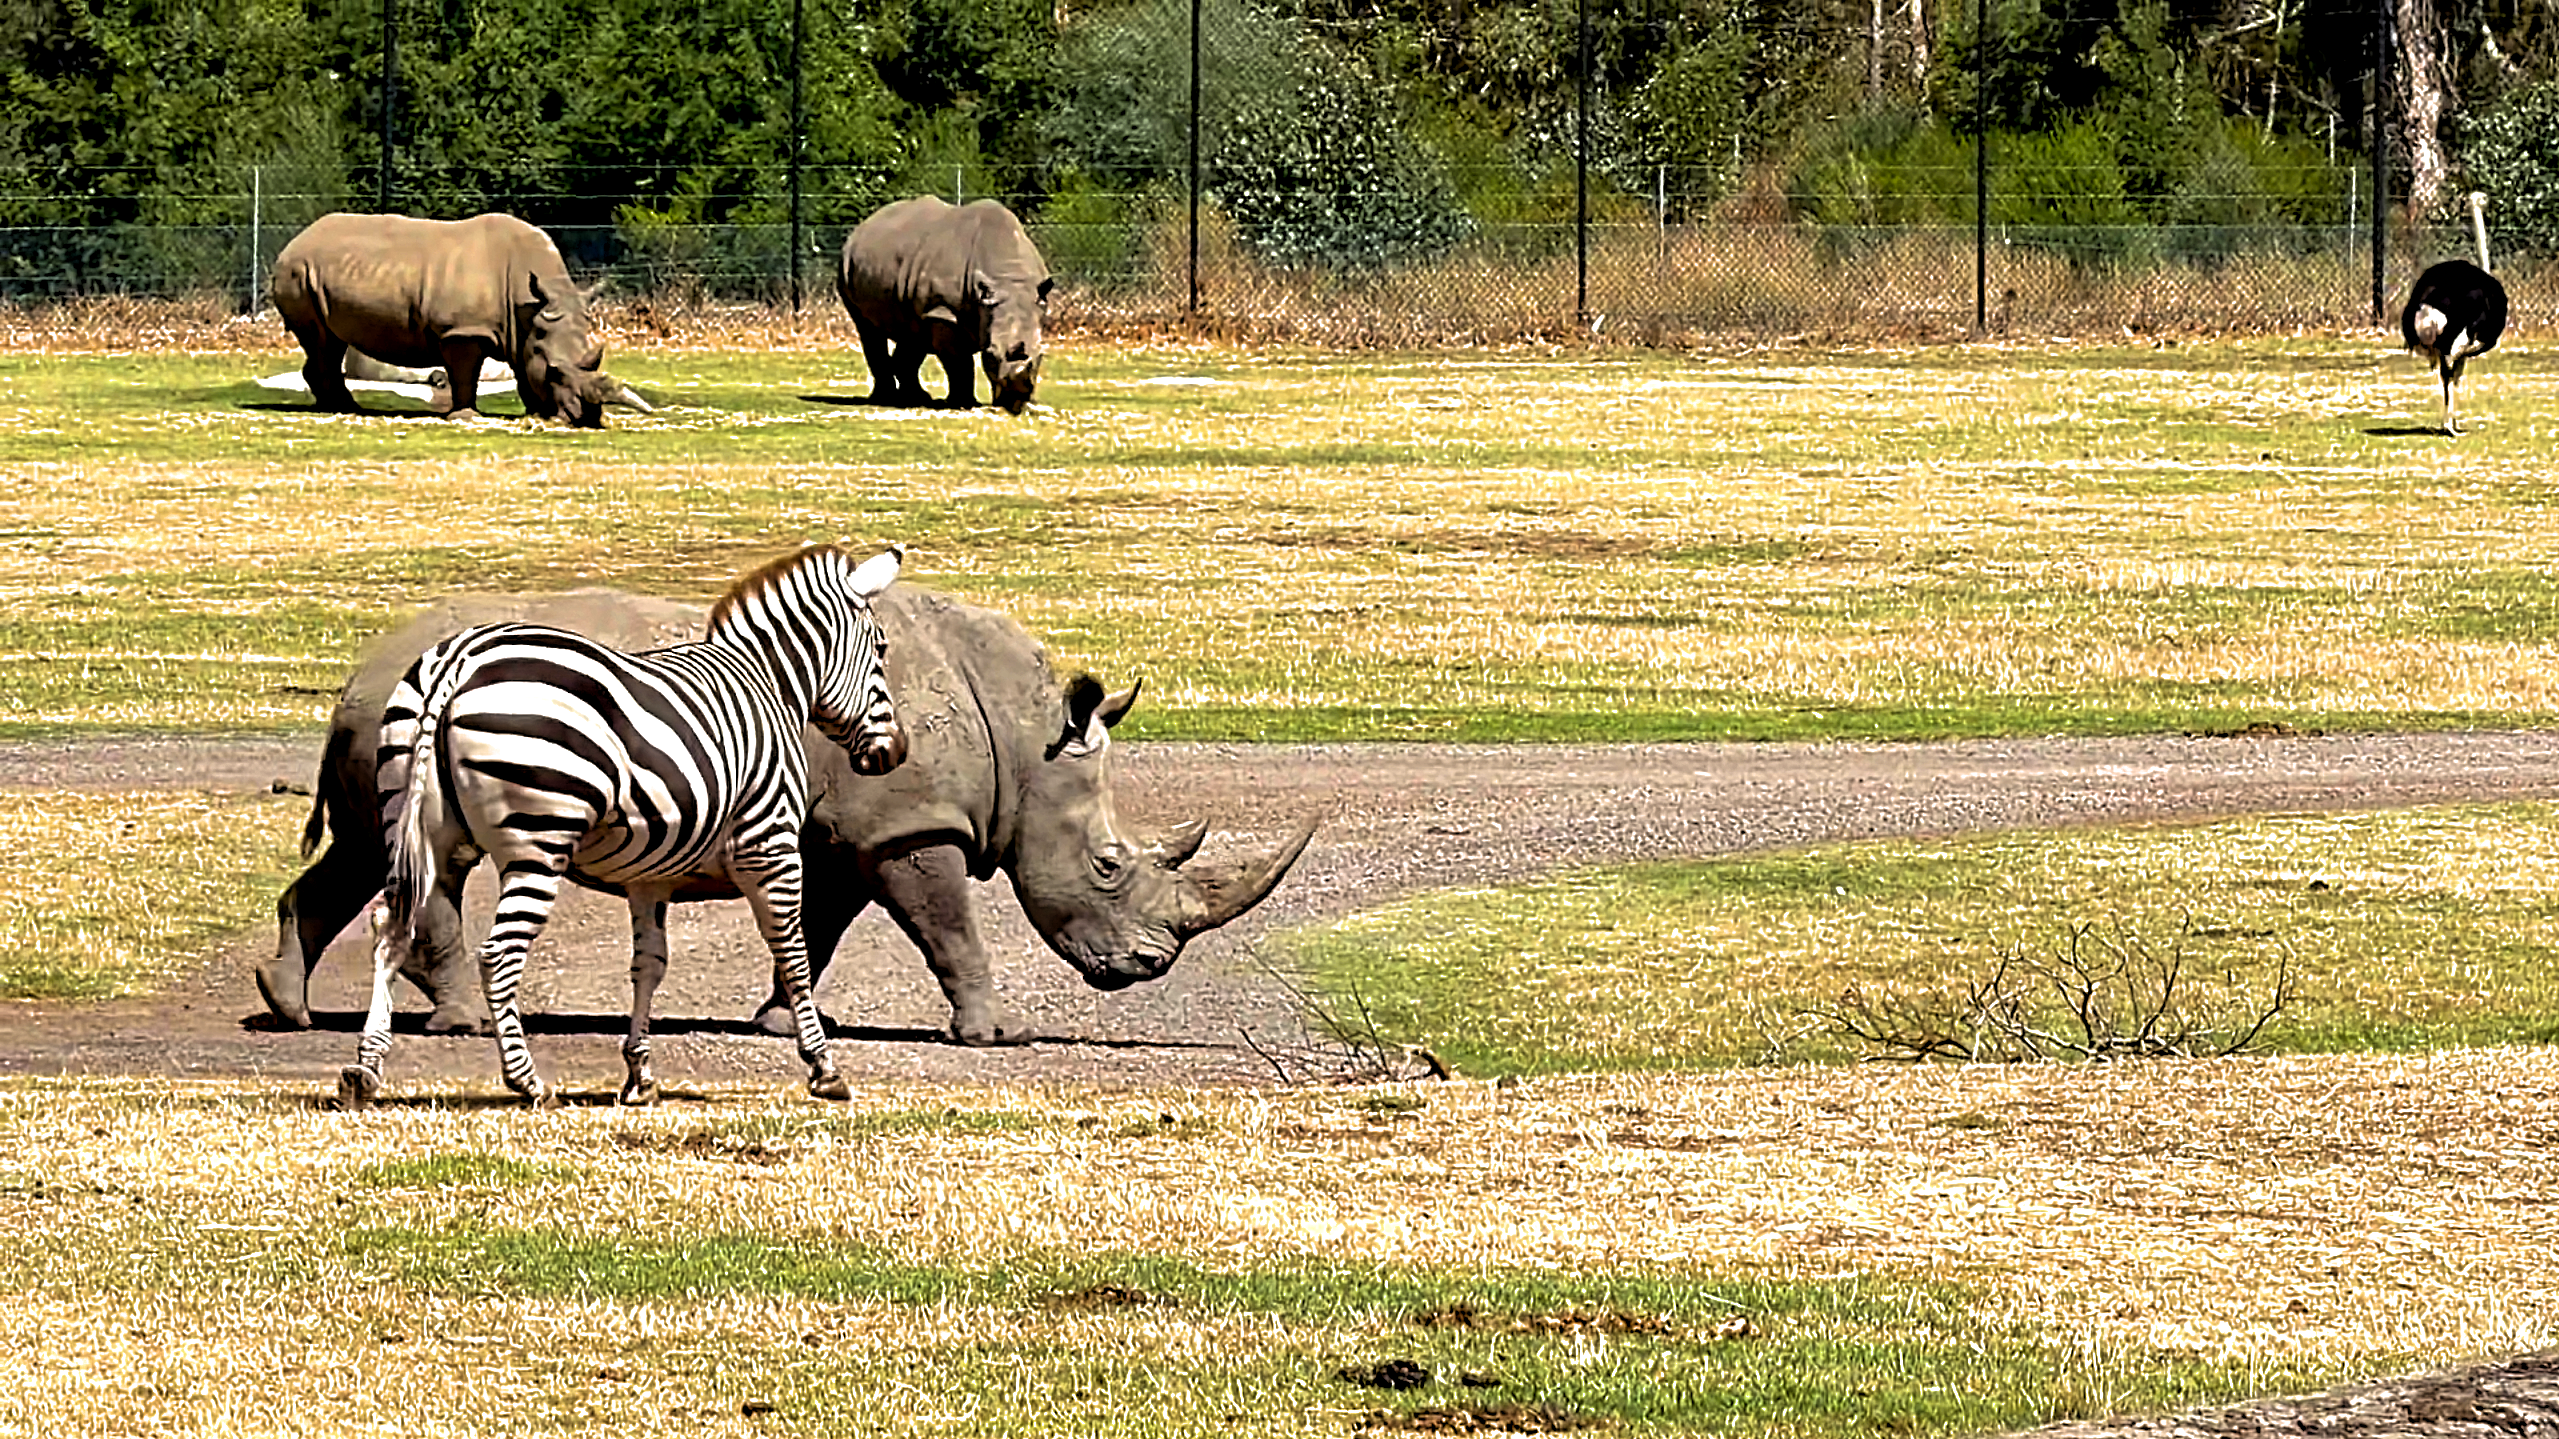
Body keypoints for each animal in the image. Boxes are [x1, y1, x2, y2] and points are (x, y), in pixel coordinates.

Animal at [264, 586, 1316, 1046]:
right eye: (1106, 864)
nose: (1146, 967)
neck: (1024, 737)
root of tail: (363, 672)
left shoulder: (854, 831)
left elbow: (816, 925)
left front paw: (783, 1022)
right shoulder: (910, 827)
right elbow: (951, 931)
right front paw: (996, 1034)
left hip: (388, 728)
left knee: (365, 851)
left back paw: (291, 1009)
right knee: (429, 862)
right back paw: (464, 1025)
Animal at [270, 212, 649, 427]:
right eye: (556, 372)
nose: (586, 419)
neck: (528, 308)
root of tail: (296, 239)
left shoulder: (524, 331)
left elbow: (524, 370)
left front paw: (535, 413)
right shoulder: (462, 332)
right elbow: (466, 374)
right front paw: (467, 417)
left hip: (313, 273)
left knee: (331, 342)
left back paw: (341, 406)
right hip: (298, 271)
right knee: (321, 341)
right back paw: (340, 408)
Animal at [333, 542, 908, 1110]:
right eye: (880, 649)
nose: (895, 753)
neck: (769, 683)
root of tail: (459, 658)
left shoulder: (650, 873)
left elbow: (649, 963)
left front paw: (639, 1076)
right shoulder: (771, 844)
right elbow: (793, 955)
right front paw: (824, 1069)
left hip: (418, 829)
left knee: (391, 926)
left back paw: (365, 1070)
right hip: (540, 838)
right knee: (498, 953)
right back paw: (528, 1082)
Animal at [836, 196, 1053, 414]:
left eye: (1040, 355)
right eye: (990, 355)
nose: (1014, 401)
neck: (1009, 278)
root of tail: (863, 226)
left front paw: (1030, 404)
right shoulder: (943, 312)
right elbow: (960, 362)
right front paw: (965, 404)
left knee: (913, 332)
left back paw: (916, 398)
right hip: (846, 267)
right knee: (868, 329)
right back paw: (886, 398)